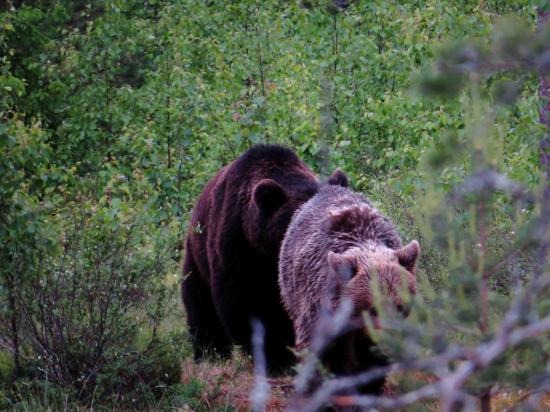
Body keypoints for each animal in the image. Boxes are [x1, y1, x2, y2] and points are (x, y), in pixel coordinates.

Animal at [183, 144, 348, 370]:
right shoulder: (237, 249)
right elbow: (245, 304)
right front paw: (275, 356)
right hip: (197, 254)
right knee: (200, 303)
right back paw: (209, 353)